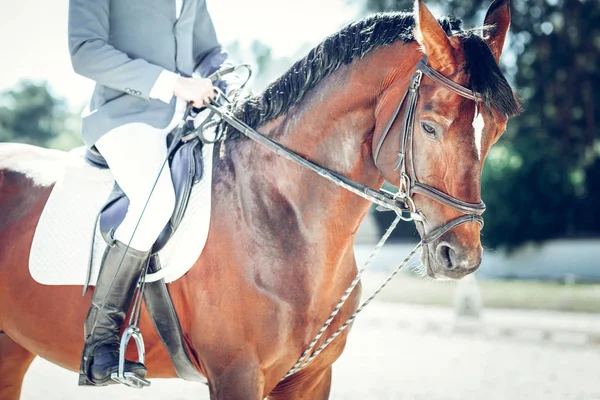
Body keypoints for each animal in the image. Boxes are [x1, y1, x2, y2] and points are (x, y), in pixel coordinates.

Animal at [0, 1, 520, 398]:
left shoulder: (311, 377)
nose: (461, 256)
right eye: (430, 125)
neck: (281, 217)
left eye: (497, 132)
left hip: (13, 349)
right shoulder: (237, 376)